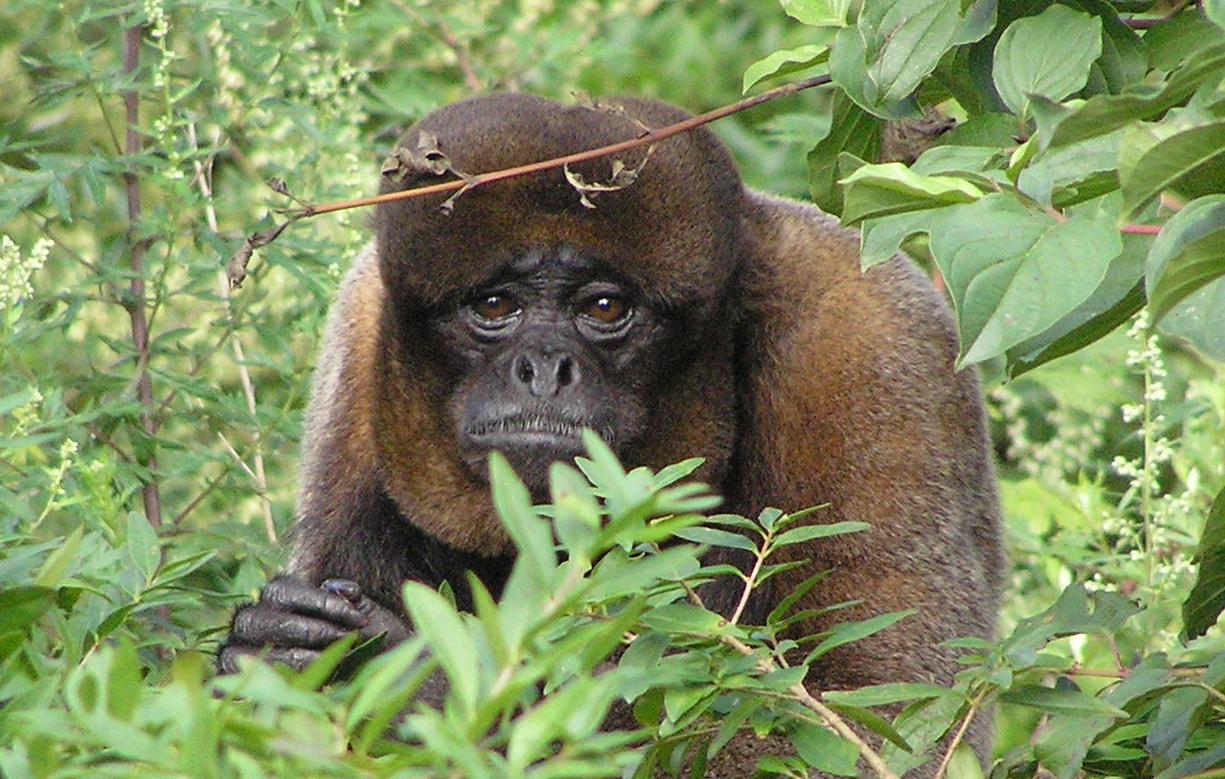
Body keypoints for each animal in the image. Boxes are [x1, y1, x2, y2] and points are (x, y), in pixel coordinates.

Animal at [218, 92, 1005, 773]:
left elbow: (872, 719)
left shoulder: (865, 343)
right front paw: (275, 651)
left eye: (603, 308)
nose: (543, 367)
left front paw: (413, 681)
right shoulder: (358, 335)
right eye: (494, 306)